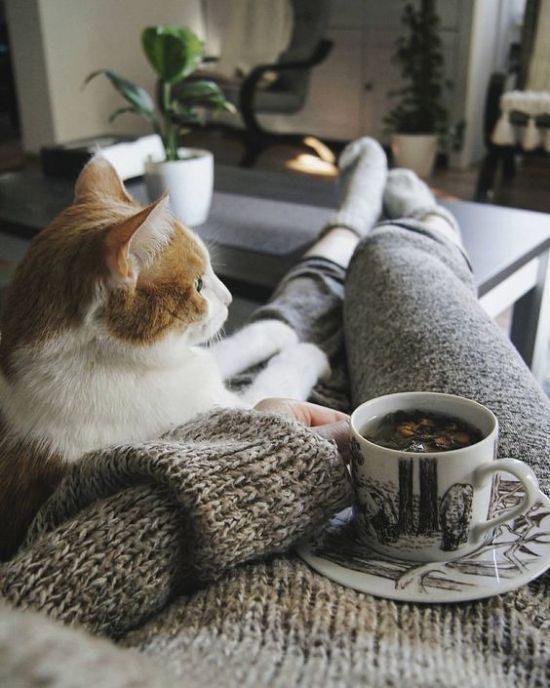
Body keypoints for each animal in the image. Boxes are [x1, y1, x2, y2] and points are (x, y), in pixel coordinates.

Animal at [0, 156, 328, 560]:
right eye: (199, 285)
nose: (230, 298)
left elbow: (230, 347)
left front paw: (275, 330)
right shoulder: (230, 405)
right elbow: (281, 376)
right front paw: (307, 349)